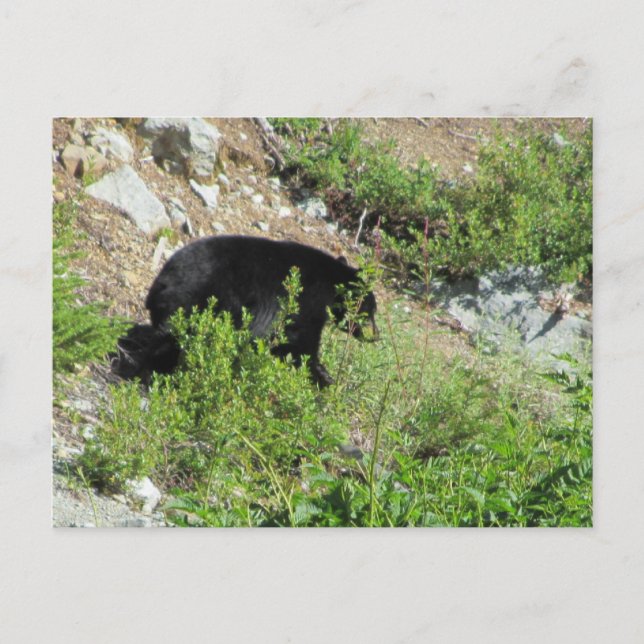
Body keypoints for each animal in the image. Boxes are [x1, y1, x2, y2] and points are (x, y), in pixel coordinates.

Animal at [113, 235, 378, 387]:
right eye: (371, 313)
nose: (376, 336)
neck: (331, 282)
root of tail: (163, 282)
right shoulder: (307, 300)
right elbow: (299, 340)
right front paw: (321, 375)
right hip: (205, 302)